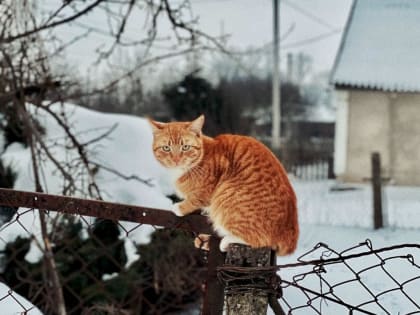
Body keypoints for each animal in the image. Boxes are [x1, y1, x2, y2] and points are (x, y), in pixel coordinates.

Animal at [149, 115, 296, 256]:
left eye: (185, 147)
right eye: (166, 148)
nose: (176, 160)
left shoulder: (209, 187)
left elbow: (196, 199)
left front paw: (179, 207)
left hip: (227, 197)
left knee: (259, 239)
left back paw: (226, 241)